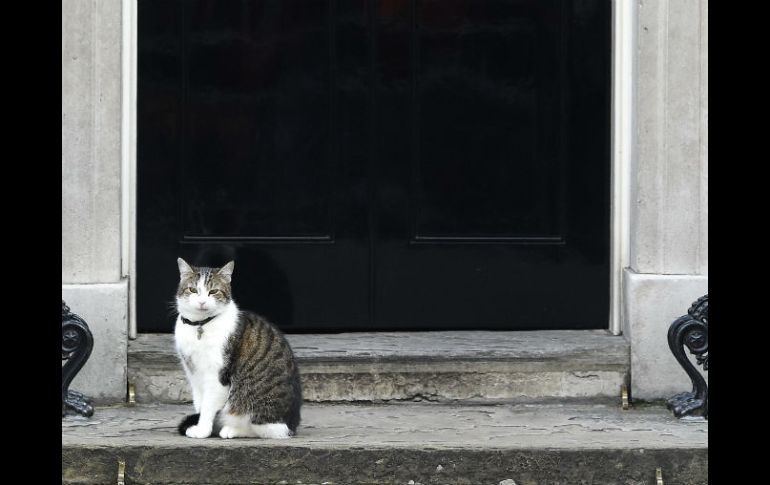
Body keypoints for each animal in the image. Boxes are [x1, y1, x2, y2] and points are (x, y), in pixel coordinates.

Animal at [172, 258, 302, 438]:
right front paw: (200, 425)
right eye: (192, 290)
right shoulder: (193, 374)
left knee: (266, 430)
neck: (200, 325)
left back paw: (231, 430)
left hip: (255, 405)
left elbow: (207, 407)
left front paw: (202, 430)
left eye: (213, 291)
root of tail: (292, 425)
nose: (202, 302)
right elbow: (199, 404)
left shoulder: (217, 376)